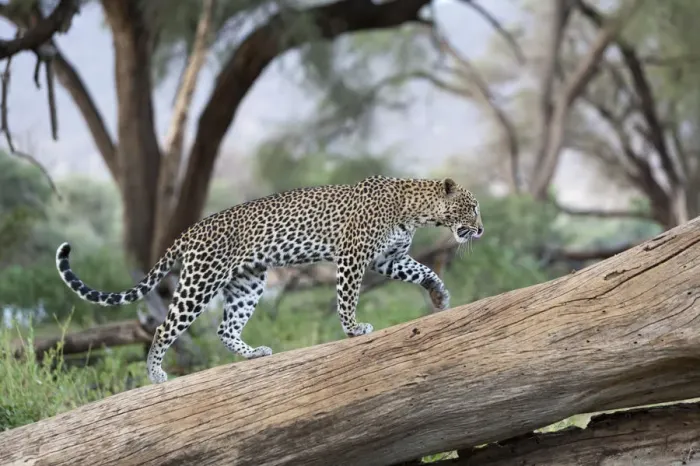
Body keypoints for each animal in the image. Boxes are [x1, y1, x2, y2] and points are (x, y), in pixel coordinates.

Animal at [55, 175, 484, 384]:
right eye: (473, 206)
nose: (481, 229)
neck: (416, 208)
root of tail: (191, 231)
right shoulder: (353, 256)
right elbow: (346, 297)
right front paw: (353, 329)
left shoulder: (387, 259)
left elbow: (424, 270)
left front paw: (440, 295)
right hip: (200, 281)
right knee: (164, 327)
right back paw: (156, 373)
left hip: (248, 283)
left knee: (225, 328)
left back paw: (254, 354)